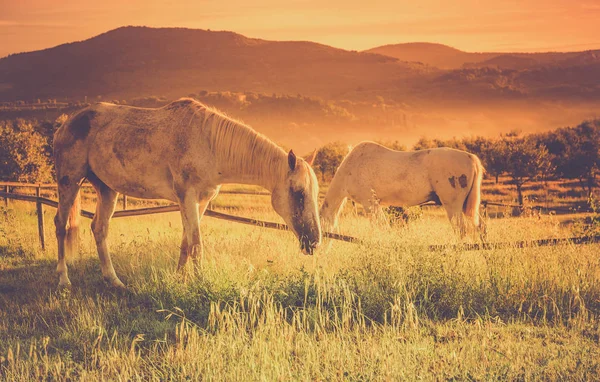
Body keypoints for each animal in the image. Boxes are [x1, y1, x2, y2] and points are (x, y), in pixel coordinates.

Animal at [54, 97, 322, 288]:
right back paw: (64, 280)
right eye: (299, 193)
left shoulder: (199, 202)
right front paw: (201, 282)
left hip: (107, 189)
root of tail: (65, 124)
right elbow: (197, 244)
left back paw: (114, 281)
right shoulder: (188, 197)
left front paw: (179, 278)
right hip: (70, 181)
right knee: (61, 225)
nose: (314, 242)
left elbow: (186, 242)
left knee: (99, 229)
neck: (209, 144)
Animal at [322, 141, 486, 236]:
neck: (352, 167)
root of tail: (470, 157)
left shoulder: (370, 204)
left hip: (453, 206)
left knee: (461, 230)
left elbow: (380, 227)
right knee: (479, 228)